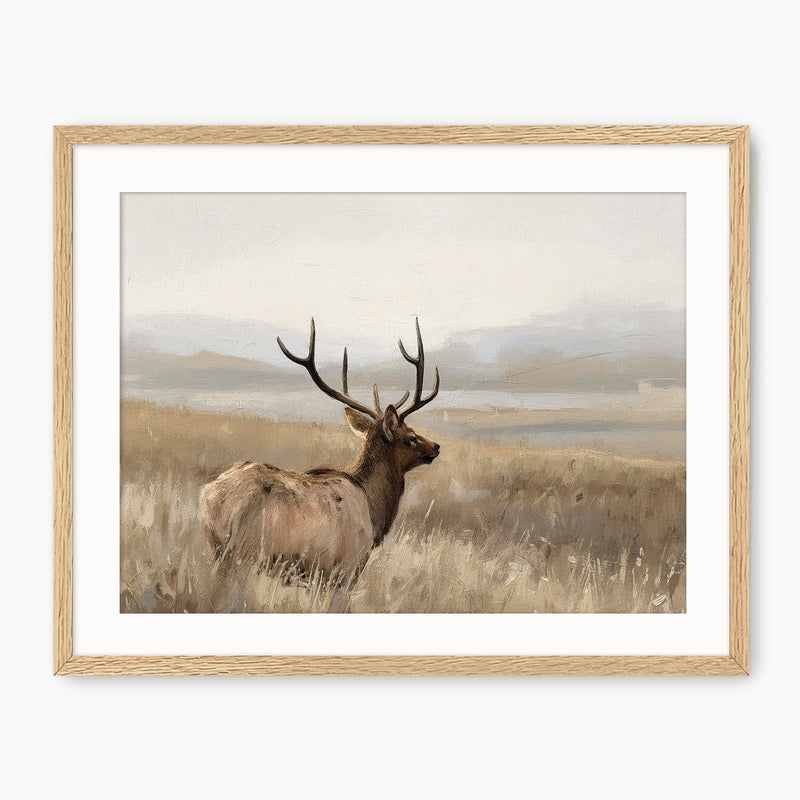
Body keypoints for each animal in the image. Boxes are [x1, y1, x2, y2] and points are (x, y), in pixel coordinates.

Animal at [199, 317, 441, 588]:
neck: (374, 512)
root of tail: (212, 496)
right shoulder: (345, 569)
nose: (436, 446)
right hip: (245, 553)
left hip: (217, 550)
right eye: (411, 437)